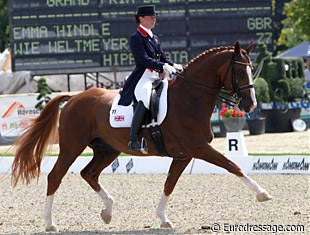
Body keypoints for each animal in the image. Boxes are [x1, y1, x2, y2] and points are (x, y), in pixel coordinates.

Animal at [10, 42, 272, 231]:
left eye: (250, 69)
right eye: (239, 71)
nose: (251, 104)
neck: (189, 99)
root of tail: (74, 97)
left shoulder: (184, 155)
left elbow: (170, 183)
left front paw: (163, 219)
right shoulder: (198, 148)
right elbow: (232, 165)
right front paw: (262, 194)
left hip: (107, 149)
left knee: (89, 173)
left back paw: (108, 211)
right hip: (72, 147)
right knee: (55, 176)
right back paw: (49, 223)